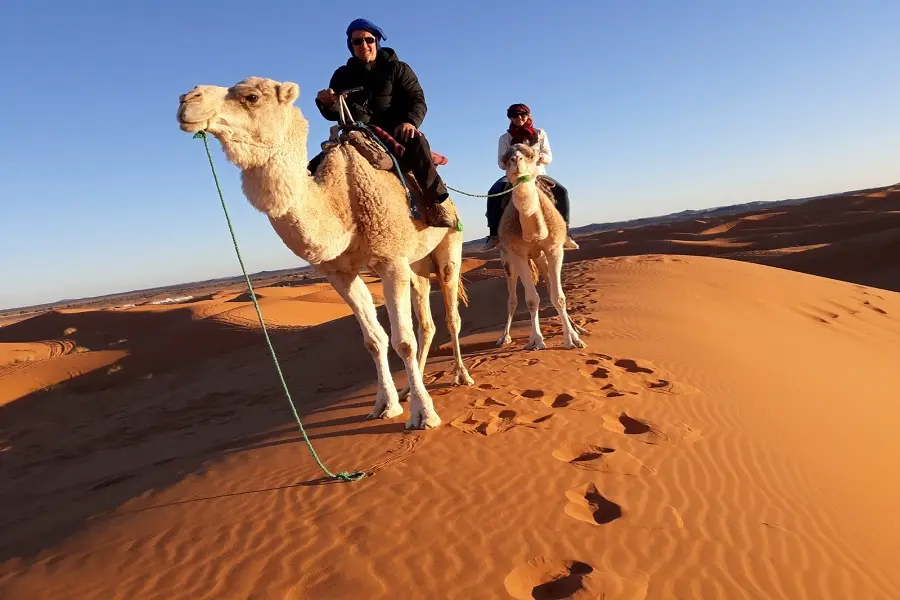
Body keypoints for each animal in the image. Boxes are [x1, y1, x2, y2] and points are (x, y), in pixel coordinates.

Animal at [176, 77, 474, 430]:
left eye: (252, 97)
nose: (187, 100)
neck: (341, 202)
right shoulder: (339, 272)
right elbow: (374, 340)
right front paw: (385, 405)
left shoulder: (389, 260)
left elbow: (402, 341)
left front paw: (423, 415)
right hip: (415, 262)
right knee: (425, 319)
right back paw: (411, 389)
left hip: (449, 244)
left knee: (451, 313)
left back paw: (460, 376)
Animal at [495, 142, 587, 351]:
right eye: (505, 158)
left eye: (531, 155)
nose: (516, 160)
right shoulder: (518, 254)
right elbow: (531, 299)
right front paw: (536, 340)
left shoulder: (554, 249)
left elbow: (559, 297)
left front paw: (572, 339)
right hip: (507, 259)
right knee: (512, 299)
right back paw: (504, 337)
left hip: (541, 257)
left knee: (550, 286)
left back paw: (577, 328)